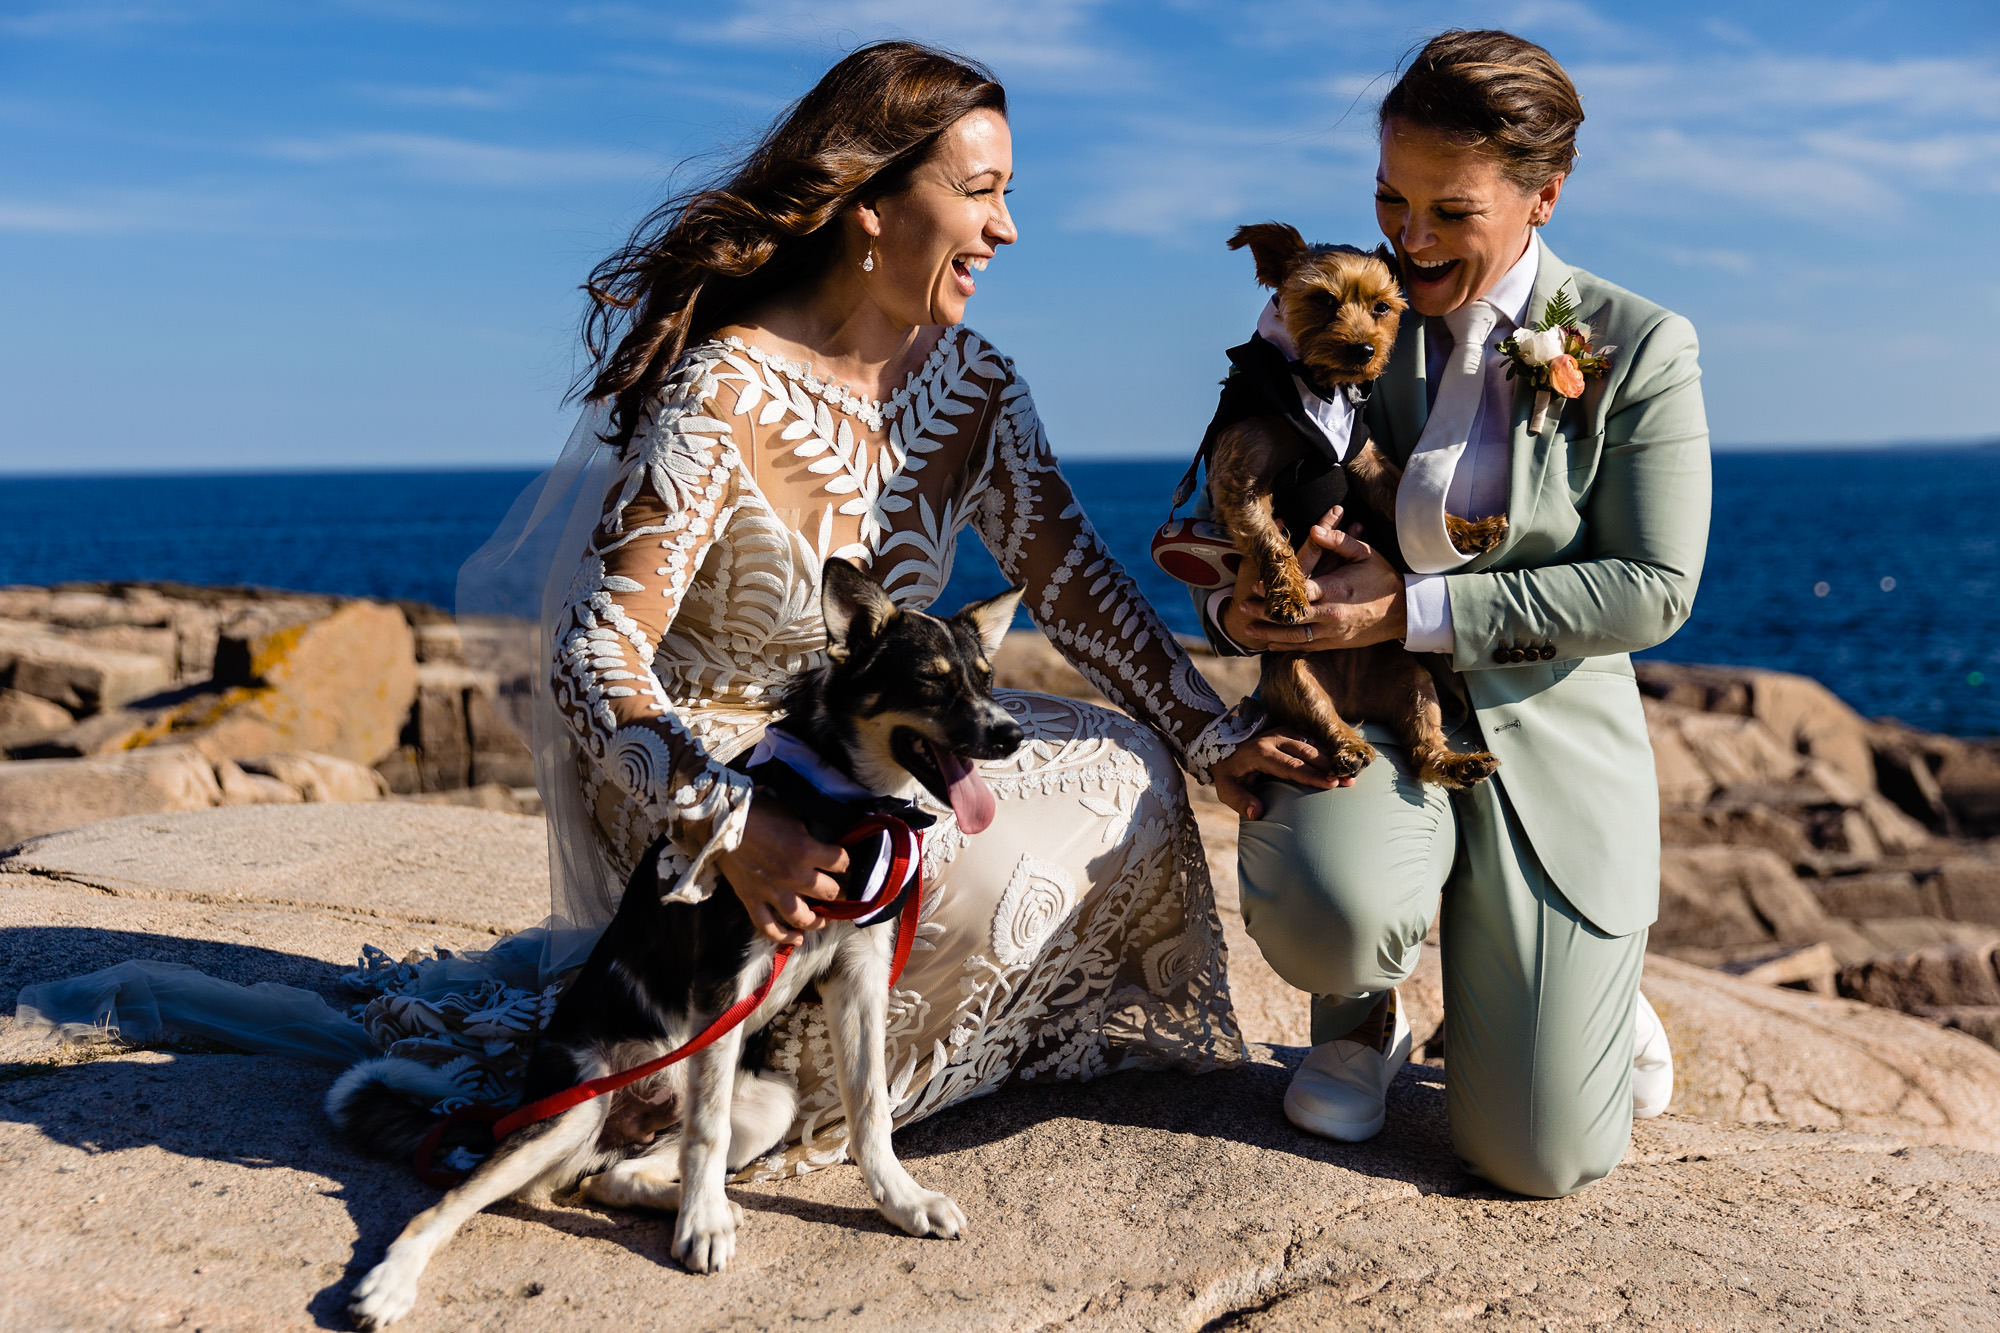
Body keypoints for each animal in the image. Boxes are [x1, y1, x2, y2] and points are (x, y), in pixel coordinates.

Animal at [334, 556, 1024, 1320]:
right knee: (458, 1200)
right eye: (931, 680)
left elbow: (870, 1107)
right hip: (577, 1108)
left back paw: (701, 1203)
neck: (845, 804)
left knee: (607, 1177)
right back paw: (391, 1282)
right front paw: (699, 1226)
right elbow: (707, 1130)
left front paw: (901, 1201)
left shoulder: (860, 976)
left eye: (986, 679)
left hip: (765, 1104)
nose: (1010, 734)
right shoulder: (726, 977)